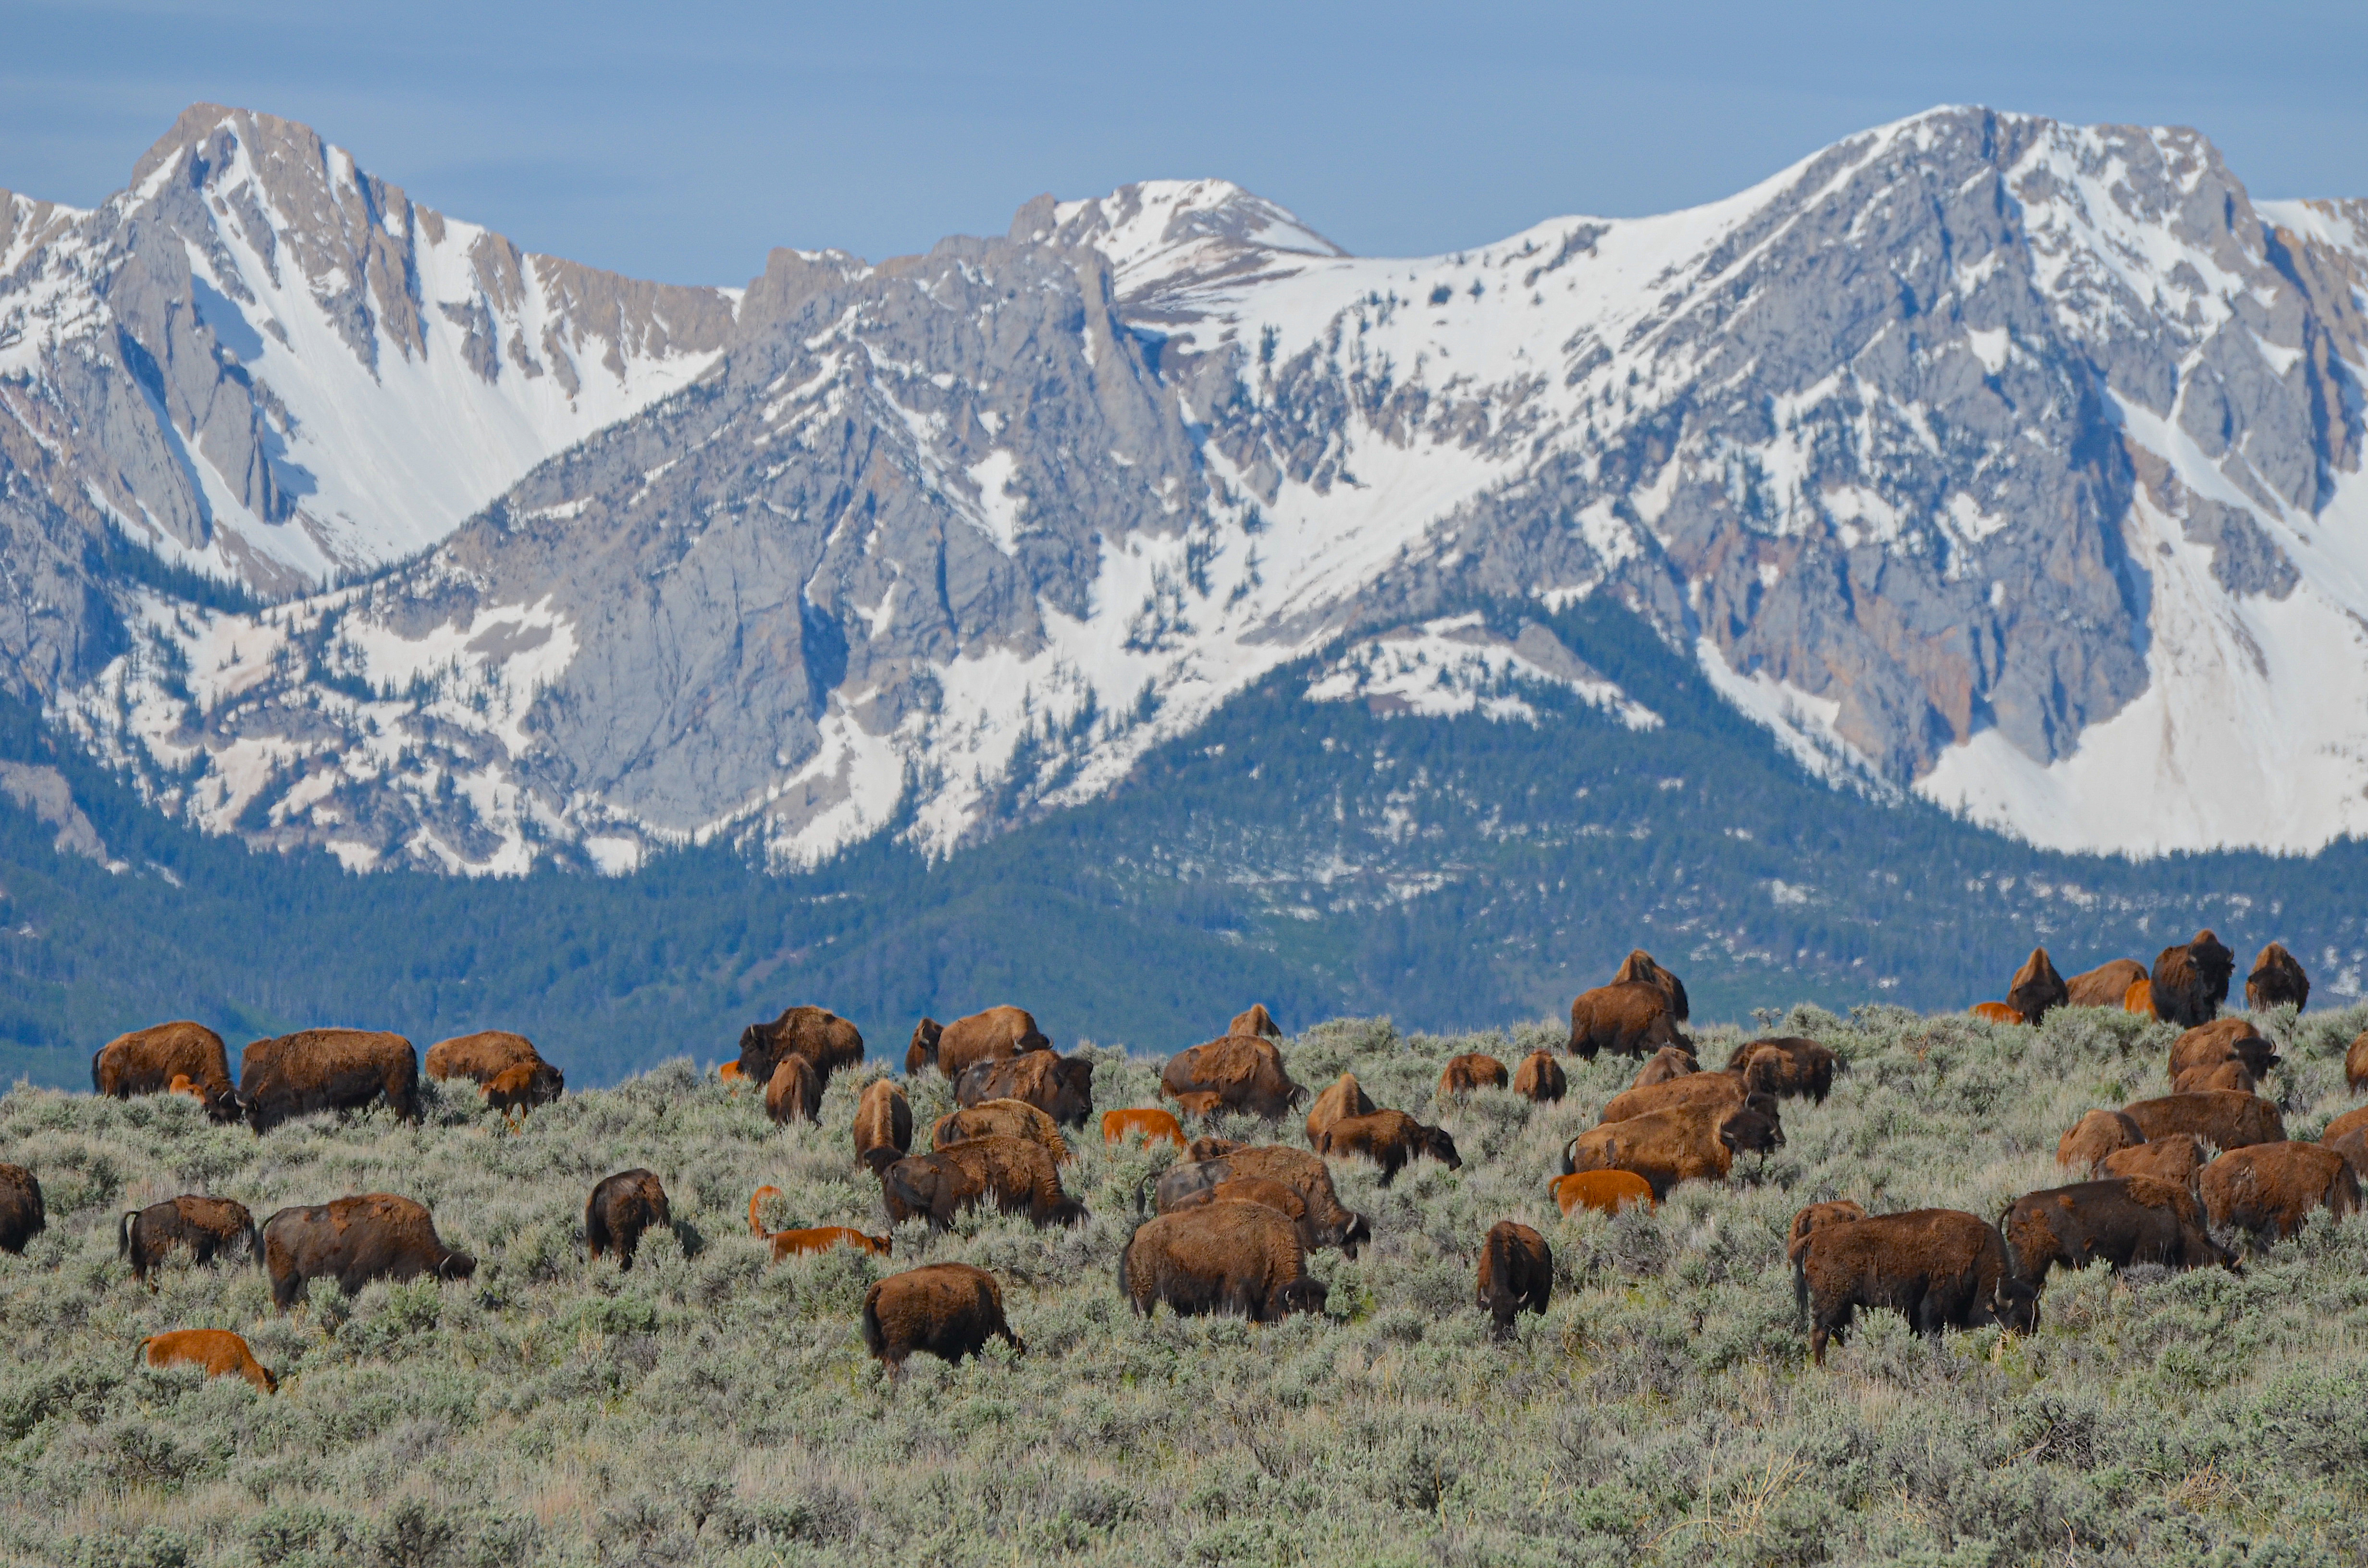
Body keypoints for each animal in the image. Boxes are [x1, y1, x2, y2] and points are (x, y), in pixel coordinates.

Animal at [239, 1029, 418, 1133]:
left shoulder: (313, 1100)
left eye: (256, 1115)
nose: (260, 1135)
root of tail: (406, 1044)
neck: (286, 1064)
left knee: (400, 1110)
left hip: (394, 1088)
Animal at [259, 1194, 474, 1310]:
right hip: (285, 1277)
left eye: (469, 1280)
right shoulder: (357, 1274)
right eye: (452, 1281)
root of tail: (279, 1216)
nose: (468, 1300)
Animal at [1121, 1203, 1328, 1323]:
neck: (1269, 1241)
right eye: (1298, 1310)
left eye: (1321, 1308)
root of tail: (1138, 1236)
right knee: (1142, 1308)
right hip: (1144, 1291)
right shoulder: (1239, 1287)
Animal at [1794, 1208, 2038, 1364]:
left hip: (1841, 1303)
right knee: (1821, 1333)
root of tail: (1816, 1238)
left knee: (1838, 1331)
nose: (2027, 1348)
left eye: (2036, 1321)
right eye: (2015, 1322)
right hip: (1831, 1300)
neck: (1977, 1257)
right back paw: (1822, 1368)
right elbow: (1933, 1335)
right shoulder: (1935, 1306)